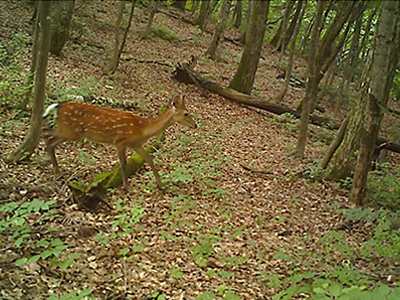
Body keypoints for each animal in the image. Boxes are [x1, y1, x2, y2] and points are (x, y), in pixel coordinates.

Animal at [43, 94, 197, 189]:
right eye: (186, 113)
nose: (195, 125)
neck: (142, 129)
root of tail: (58, 106)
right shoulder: (120, 141)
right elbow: (123, 164)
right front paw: (127, 187)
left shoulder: (136, 144)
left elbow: (149, 159)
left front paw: (161, 185)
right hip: (70, 130)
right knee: (47, 133)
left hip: (69, 130)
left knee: (48, 137)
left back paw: (55, 170)